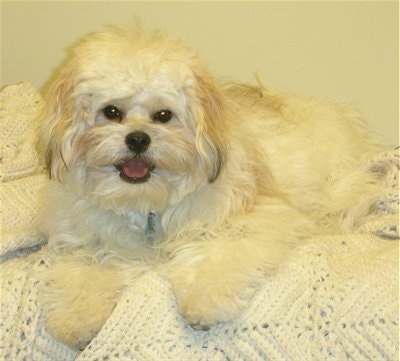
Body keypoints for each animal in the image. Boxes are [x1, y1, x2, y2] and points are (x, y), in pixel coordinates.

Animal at [39, 26, 380, 348]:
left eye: (163, 115)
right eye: (111, 112)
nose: (137, 139)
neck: (148, 206)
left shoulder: (257, 217)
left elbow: (221, 254)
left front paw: (204, 301)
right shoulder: (89, 240)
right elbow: (83, 272)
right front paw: (77, 318)